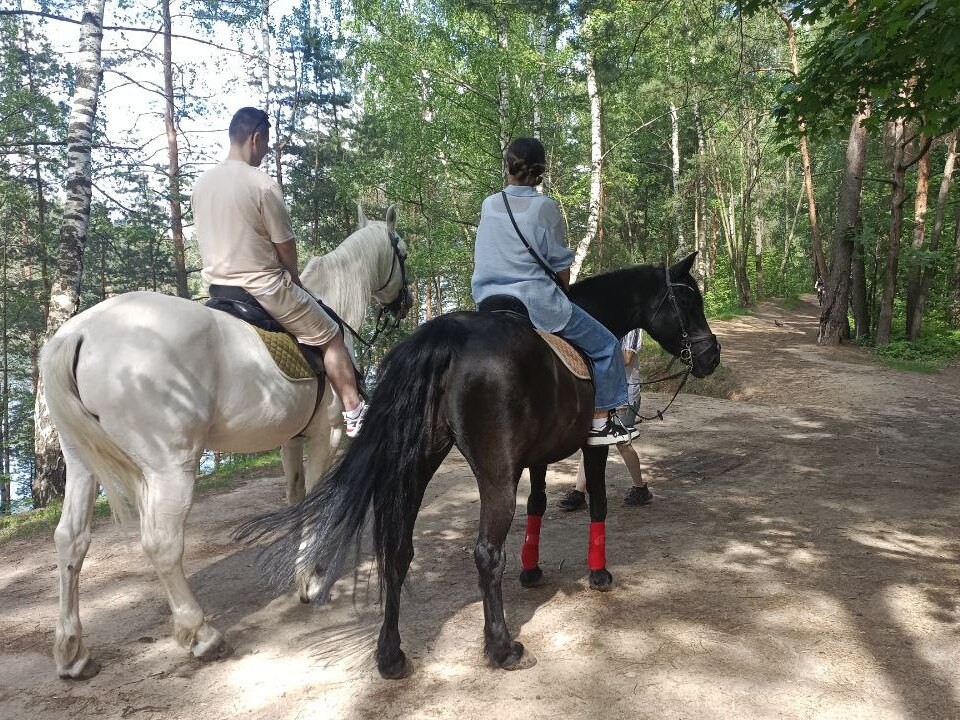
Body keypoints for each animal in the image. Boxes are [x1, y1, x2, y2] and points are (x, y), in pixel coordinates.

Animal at [40, 205, 408, 676]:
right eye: (403, 252)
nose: (406, 303)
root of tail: (79, 333)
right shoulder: (324, 436)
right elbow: (313, 498)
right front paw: (308, 580)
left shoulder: (290, 441)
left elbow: (296, 498)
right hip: (171, 467)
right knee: (162, 543)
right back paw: (200, 634)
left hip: (81, 463)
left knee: (70, 539)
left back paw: (72, 651)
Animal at [238, 255, 720, 680]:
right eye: (689, 300)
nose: (712, 356)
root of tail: (450, 333)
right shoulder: (591, 446)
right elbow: (597, 502)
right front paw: (599, 574)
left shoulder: (536, 459)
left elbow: (538, 506)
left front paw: (532, 570)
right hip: (494, 475)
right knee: (486, 552)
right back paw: (503, 648)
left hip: (417, 466)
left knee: (397, 549)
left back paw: (391, 656)